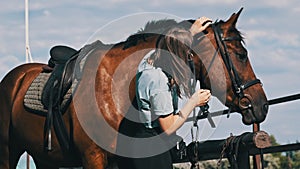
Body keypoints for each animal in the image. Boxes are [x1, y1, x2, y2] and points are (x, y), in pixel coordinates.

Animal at [0, 8, 268, 169]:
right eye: (241, 55)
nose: (261, 105)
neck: (116, 89)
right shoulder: (93, 158)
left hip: (45, 157)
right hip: (9, 152)